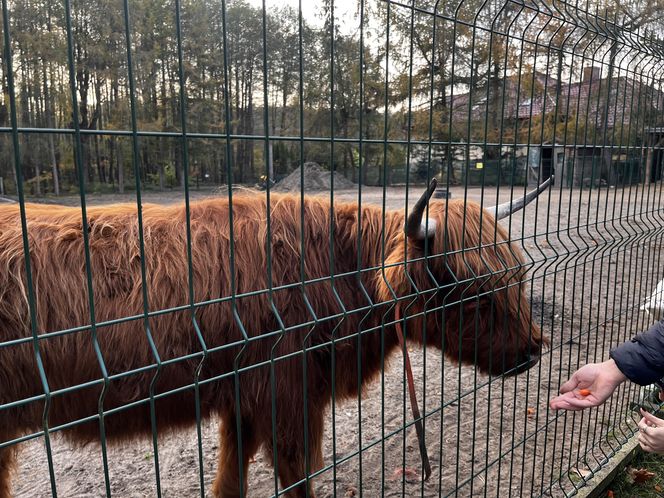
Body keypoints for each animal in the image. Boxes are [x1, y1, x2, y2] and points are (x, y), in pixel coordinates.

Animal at [0, 181, 548, 496]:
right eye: (473, 295)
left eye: (517, 279)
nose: (532, 352)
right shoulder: (287, 396)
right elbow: (296, 475)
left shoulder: (243, 398)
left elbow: (230, 479)